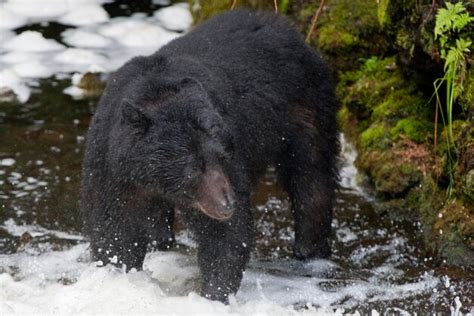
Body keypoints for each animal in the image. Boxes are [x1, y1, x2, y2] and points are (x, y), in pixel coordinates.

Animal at [82, 9, 340, 302]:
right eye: (193, 167)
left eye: (223, 156)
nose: (227, 203)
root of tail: (288, 29)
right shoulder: (112, 168)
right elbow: (114, 227)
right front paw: (118, 275)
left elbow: (224, 235)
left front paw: (214, 293)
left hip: (304, 106)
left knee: (311, 174)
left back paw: (309, 249)